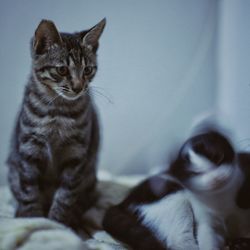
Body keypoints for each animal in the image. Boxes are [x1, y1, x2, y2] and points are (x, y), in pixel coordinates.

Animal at [6, 17, 106, 229]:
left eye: (87, 70)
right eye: (62, 69)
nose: (78, 87)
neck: (58, 112)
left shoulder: (76, 154)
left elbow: (66, 194)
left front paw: (58, 222)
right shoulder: (29, 147)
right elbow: (29, 188)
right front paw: (32, 218)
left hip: (90, 177)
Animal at [102, 129, 250, 250]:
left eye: (218, 157)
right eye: (194, 173)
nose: (216, 179)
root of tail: (121, 203)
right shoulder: (207, 223)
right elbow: (208, 242)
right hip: (175, 200)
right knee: (179, 241)